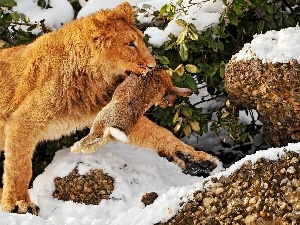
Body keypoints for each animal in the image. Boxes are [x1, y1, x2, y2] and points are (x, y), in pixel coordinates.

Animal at [0, 1, 217, 214]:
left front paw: (196, 159)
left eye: (141, 40)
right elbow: (19, 166)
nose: (152, 65)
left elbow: (159, 134)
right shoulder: (23, 120)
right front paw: (18, 202)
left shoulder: (112, 111)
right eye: (130, 44)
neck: (89, 79)